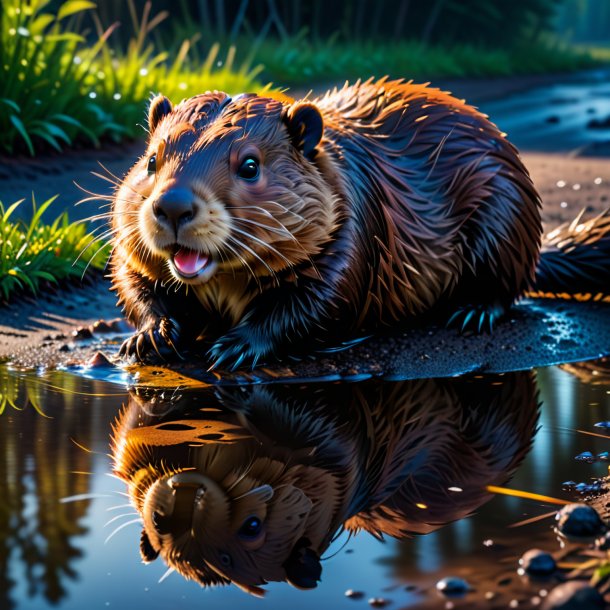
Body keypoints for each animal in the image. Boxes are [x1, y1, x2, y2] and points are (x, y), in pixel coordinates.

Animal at [110, 78, 608, 368]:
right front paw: (148, 338)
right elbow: (133, 280)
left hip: (506, 215)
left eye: (249, 165)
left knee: (507, 283)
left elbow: (319, 303)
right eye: (152, 161)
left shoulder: (354, 231)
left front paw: (234, 346)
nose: (172, 206)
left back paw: (471, 311)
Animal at [113, 370, 536, 592]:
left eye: (252, 526)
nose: (181, 502)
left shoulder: (348, 465)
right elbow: (132, 440)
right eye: (157, 523)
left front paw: (242, 391)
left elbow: (321, 436)